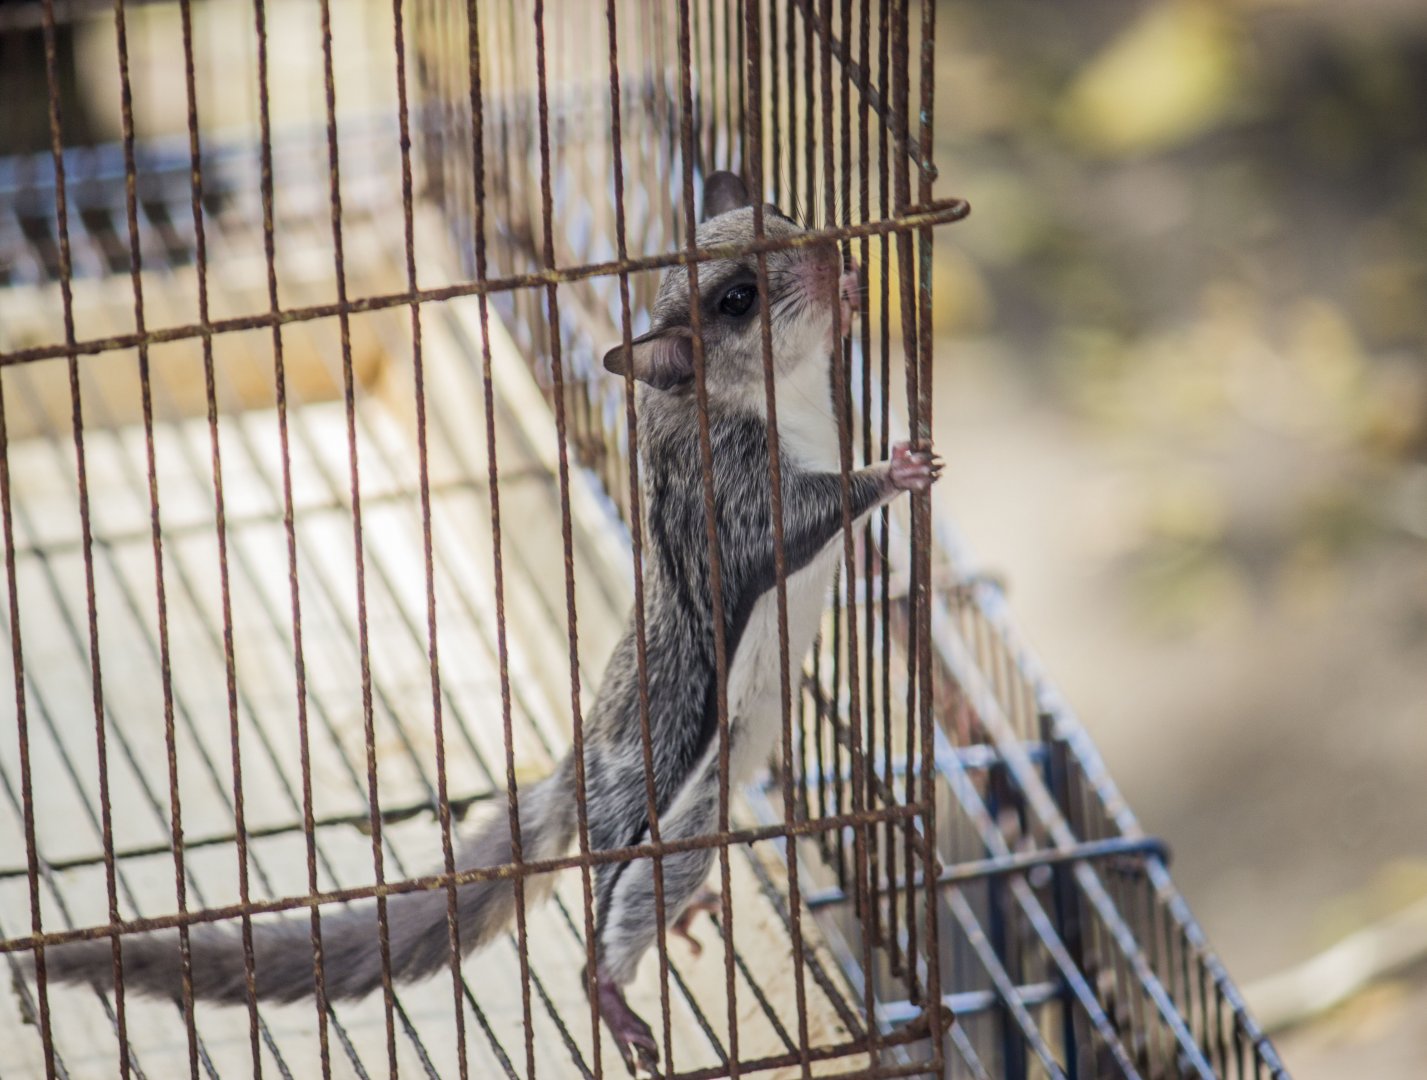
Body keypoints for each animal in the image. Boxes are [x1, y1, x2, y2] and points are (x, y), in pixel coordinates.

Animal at [31, 171, 942, 1075]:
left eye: (783, 217)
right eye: (737, 299)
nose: (830, 257)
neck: (755, 395)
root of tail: (571, 776)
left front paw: (853, 297)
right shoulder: (731, 497)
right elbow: (799, 521)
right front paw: (892, 470)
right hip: (666, 821)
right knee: (609, 926)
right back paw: (612, 998)